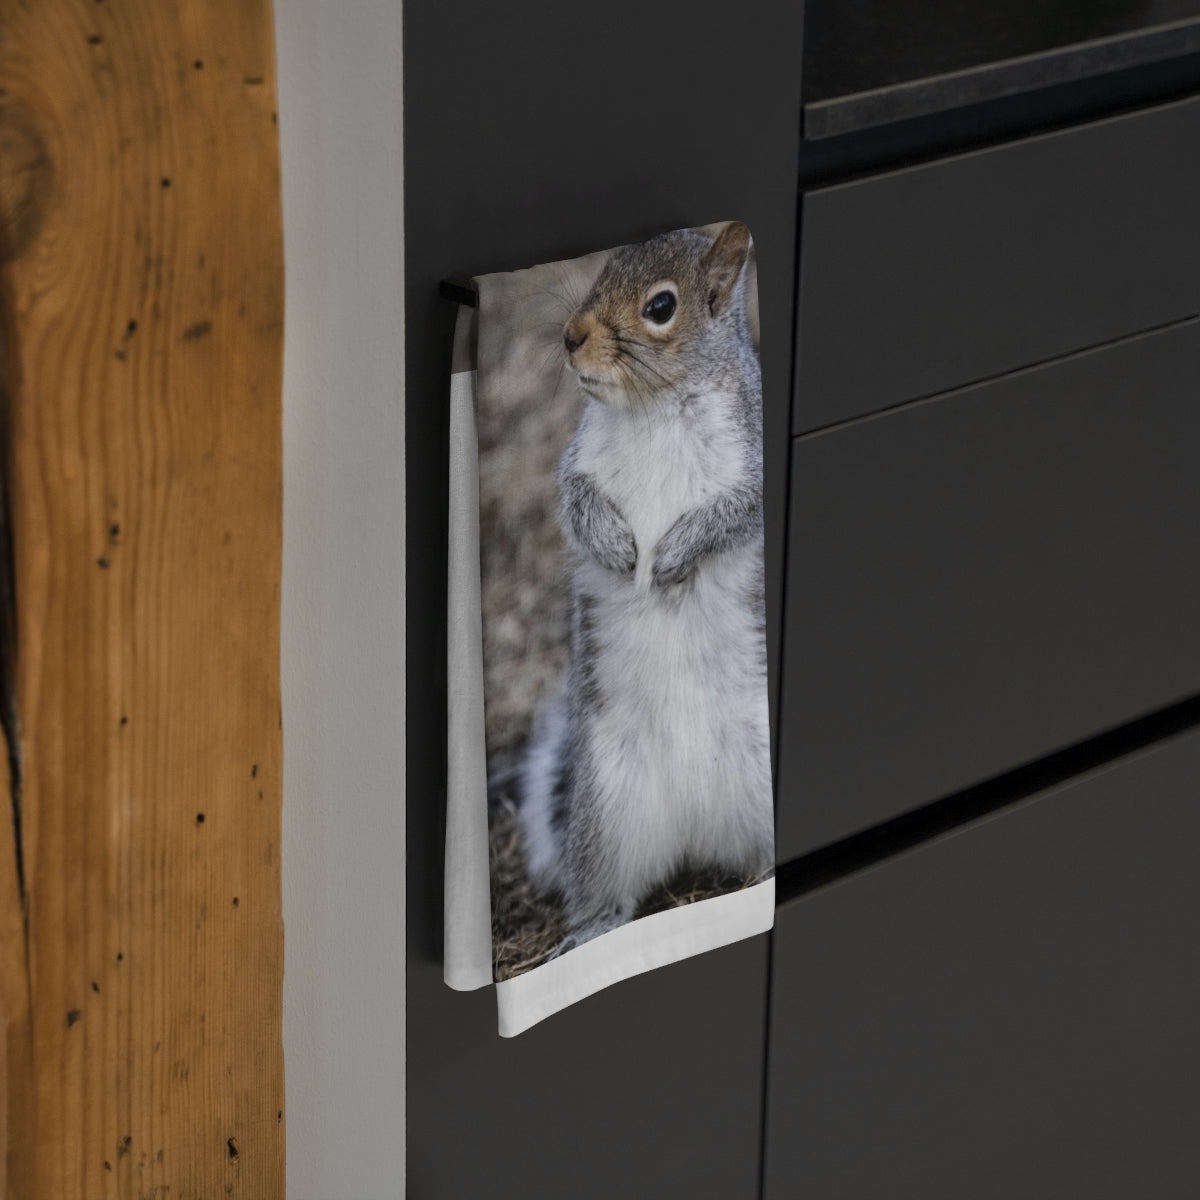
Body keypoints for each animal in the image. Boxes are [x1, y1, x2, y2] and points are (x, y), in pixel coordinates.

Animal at [519, 221, 774, 950]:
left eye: (661, 307)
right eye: (605, 266)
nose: (570, 335)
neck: (654, 405)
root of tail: (692, 831)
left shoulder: (754, 463)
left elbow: (734, 512)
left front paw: (669, 558)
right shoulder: (577, 463)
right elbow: (576, 502)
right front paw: (618, 547)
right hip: (606, 811)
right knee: (603, 890)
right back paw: (591, 934)